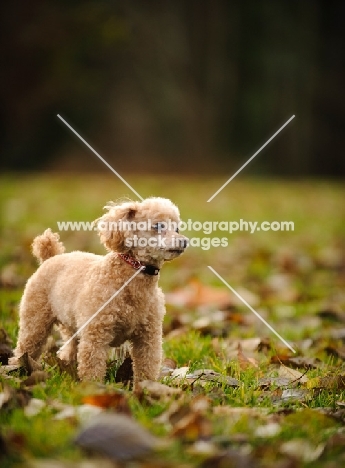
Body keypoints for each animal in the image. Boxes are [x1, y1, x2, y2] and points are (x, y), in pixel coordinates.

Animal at [10, 197, 187, 388]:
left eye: (177, 228)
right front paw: (93, 388)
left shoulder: (148, 336)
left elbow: (146, 365)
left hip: (72, 325)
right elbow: (92, 366)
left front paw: (146, 388)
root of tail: (51, 257)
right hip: (35, 319)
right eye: (158, 226)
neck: (133, 274)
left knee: (70, 349)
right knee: (26, 346)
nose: (184, 241)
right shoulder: (96, 334)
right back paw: (16, 370)